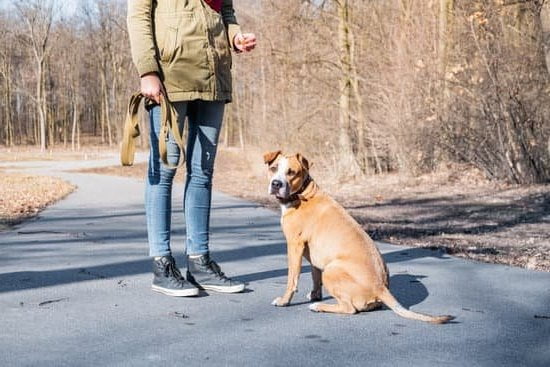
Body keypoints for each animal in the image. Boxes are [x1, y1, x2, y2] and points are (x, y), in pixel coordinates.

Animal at [266, 150, 454, 324]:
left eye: (291, 172)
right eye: (273, 168)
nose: (276, 184)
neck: (302, 194)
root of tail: (380, 287)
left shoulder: (294, 246)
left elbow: (292, 278)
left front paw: (285, 301)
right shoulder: (314, 257)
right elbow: (314, 277)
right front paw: (315, 295)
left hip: (332, 270)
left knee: (349, 309)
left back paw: (319, 306)